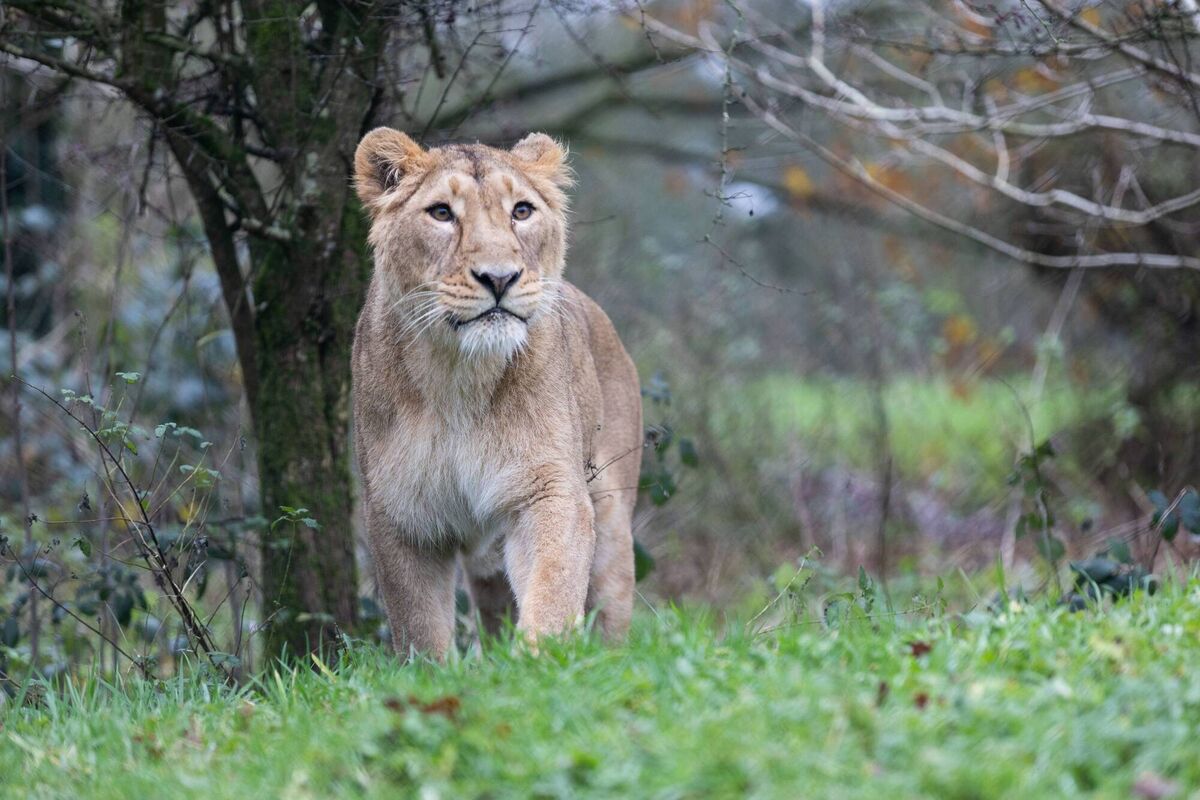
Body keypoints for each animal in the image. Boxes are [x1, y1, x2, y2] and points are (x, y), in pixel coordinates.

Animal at [351, 128, 643, 659]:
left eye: (521, 211)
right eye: (441, 212)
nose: (500, 277)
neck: (459, 377)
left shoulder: (549, 486)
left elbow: (554, 582)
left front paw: (541, 661)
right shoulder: (400, 512)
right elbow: (419, 626)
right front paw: (434, 672)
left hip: (612, 519)